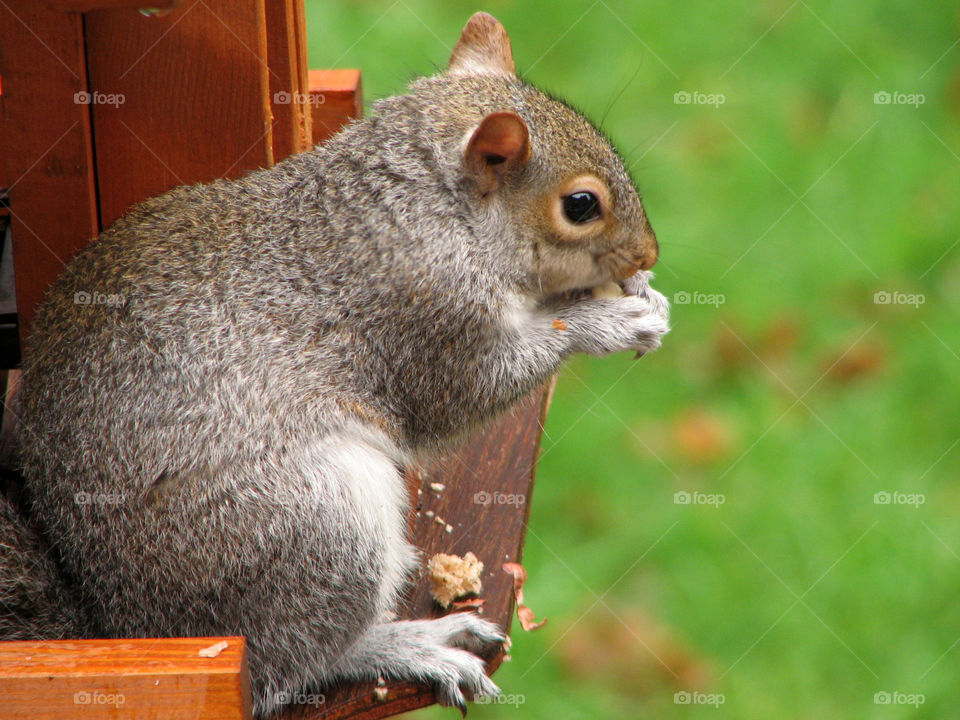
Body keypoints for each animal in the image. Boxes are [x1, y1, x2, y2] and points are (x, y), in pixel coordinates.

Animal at [0, 12, 668, 716]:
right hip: (314, 522)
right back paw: (409, 645)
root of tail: (128, 620)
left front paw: (640, 291)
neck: (432, 211)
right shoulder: (423, 318)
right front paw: (605, 323)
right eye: (581, 206)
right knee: (293, 661)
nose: (649, 251)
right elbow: (464, 392)